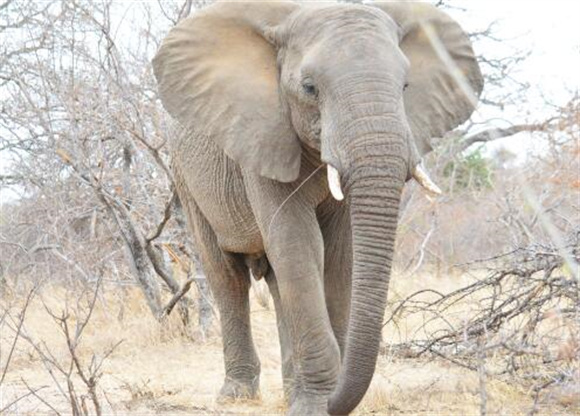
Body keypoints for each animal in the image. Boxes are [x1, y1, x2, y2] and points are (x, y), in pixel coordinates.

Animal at [152, 1, 482, 414]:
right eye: (310, 88)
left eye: (406, 86)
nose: (335, 399)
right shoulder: (263, 134)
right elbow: (298, 242)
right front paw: (315, 404)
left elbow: (340, 252)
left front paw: (316, 398)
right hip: (185, 174)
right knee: (227, 274)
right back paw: (237, 395)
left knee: (277, 280)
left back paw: (288, 389)